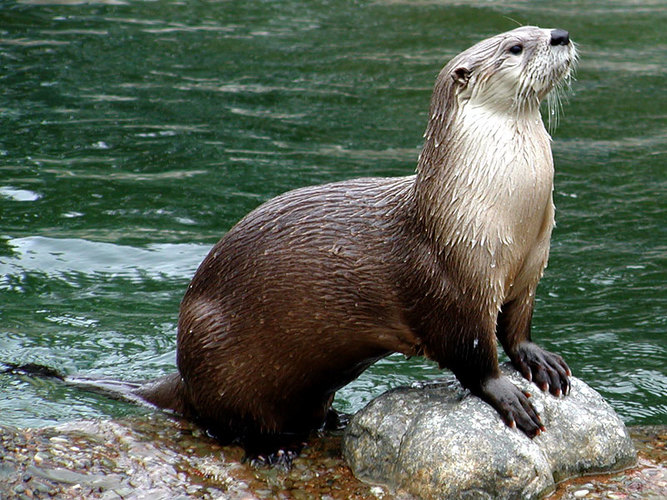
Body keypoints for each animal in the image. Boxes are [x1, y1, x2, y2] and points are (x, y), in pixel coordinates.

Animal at [136, 26, 577, 449]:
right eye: (516, 46)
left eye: (538, 27)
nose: (560, 35)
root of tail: (182, 373)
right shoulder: (452, 288)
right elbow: (473, 358)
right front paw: (507, 395)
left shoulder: (531, 269)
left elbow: (516, 328)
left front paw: (540, 359)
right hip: (214, 346)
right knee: (233, 420)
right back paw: (274, 448)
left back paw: (333, 420)